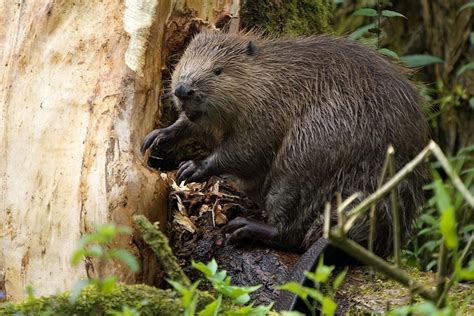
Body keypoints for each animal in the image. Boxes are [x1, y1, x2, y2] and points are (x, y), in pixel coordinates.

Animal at [141, 30, 430, 260]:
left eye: (217, 70)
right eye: (184, 62)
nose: (183, 90)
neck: (270, 78)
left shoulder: (268, 112)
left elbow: (246, 149)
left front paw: (192, 168)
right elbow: (193, 126)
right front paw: (157, 137)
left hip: (307, 154)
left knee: (291, 230)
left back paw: (243, 226)